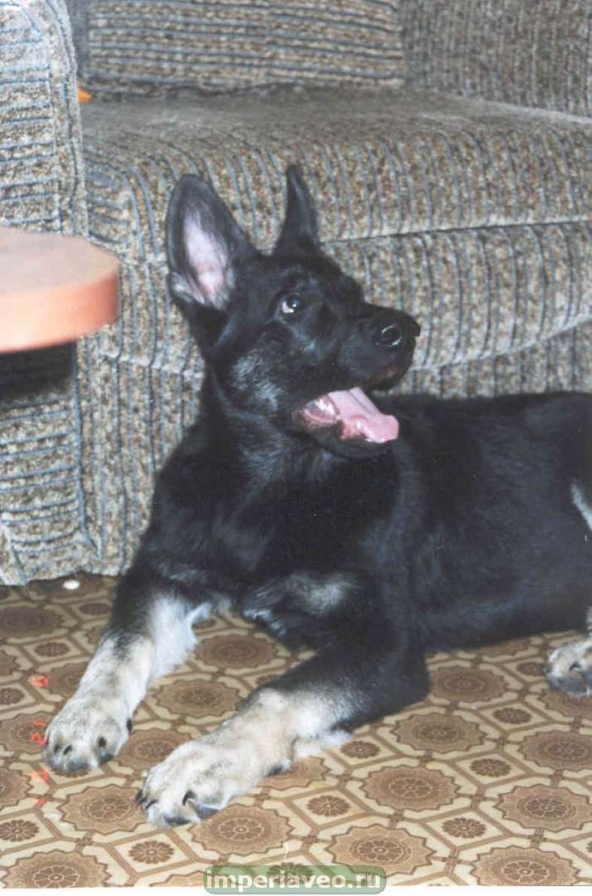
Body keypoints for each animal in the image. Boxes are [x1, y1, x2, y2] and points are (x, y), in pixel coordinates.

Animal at [44, 166, 592, 829]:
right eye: (294, 305)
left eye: (355, 290)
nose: (409, 330)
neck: (273, 481)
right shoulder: (163, 574)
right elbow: (120, 645)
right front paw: (86, 714)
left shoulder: (385, 644)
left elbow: (276, 694)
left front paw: (203, 761)